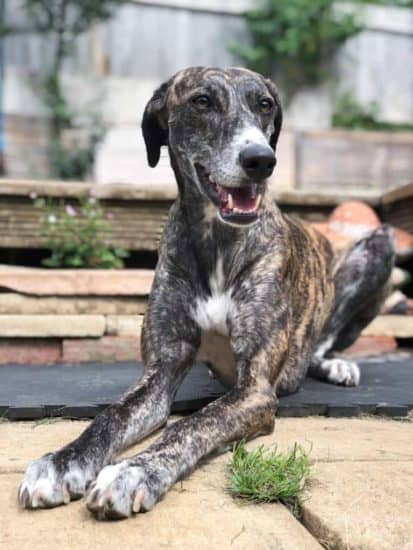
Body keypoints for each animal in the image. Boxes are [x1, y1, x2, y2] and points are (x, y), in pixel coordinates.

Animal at [17, 68, 394, 520]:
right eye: (201, 101)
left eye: (265, 104)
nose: (260, 160)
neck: (217, 240)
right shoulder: (162, 370)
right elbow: (111, 415)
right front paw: (62, 462)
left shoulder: (255, 390)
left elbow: (194, 422)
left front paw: (134, 471)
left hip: (379, 246)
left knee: (323, 342)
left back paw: (336, 365)